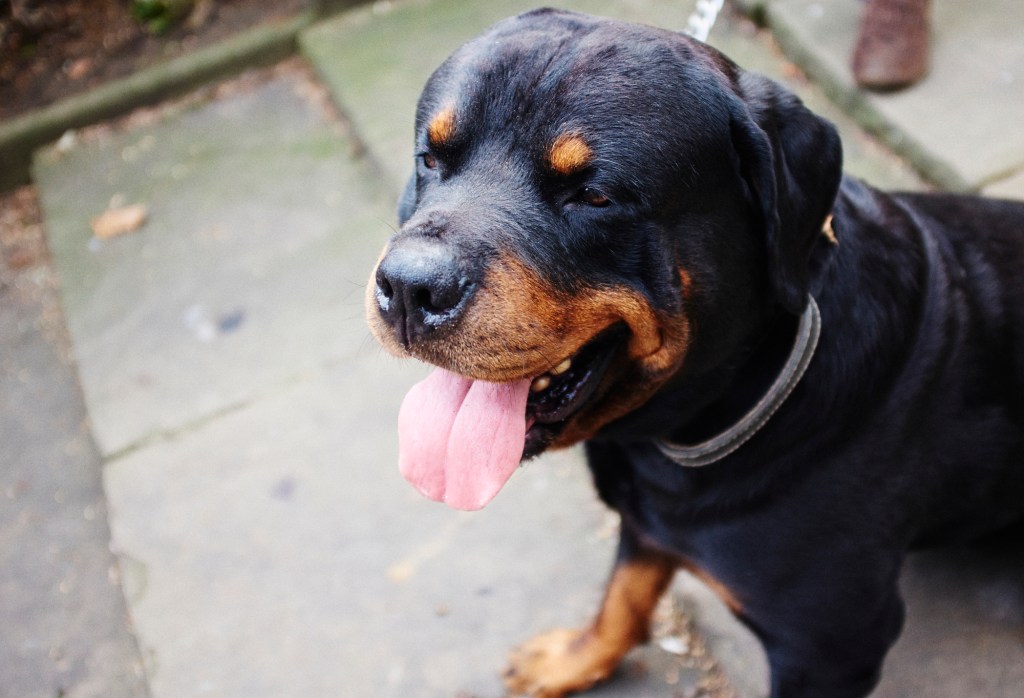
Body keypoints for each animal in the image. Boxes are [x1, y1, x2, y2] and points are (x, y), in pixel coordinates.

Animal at [364, 6, 1024, 695]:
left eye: (595, 195)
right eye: (430, 159)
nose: (409, 286)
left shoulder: (830, 645)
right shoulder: (643, 516)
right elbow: (622, 595)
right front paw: (573, 658)